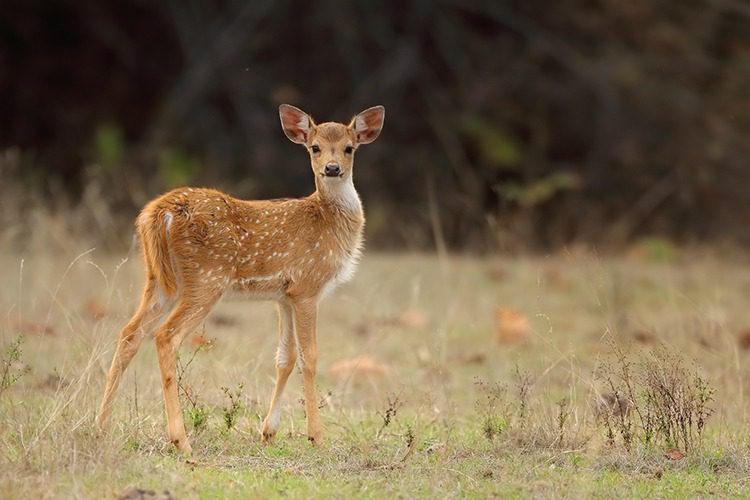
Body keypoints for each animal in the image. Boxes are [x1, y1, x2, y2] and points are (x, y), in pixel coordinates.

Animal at [94, 103, 384, 452]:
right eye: (314, 147)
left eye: (349, 148)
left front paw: (268, 432)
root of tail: (158, 213)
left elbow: (284, 357)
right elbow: (309, 357)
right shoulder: (307, 287)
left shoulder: (283, 296)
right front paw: (316, 436)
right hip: (206, 280)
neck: (328, 221)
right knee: (166, 336)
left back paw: (99, 428)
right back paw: (181, 440)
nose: (331, 168)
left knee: (129, 333)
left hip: (160, 281)